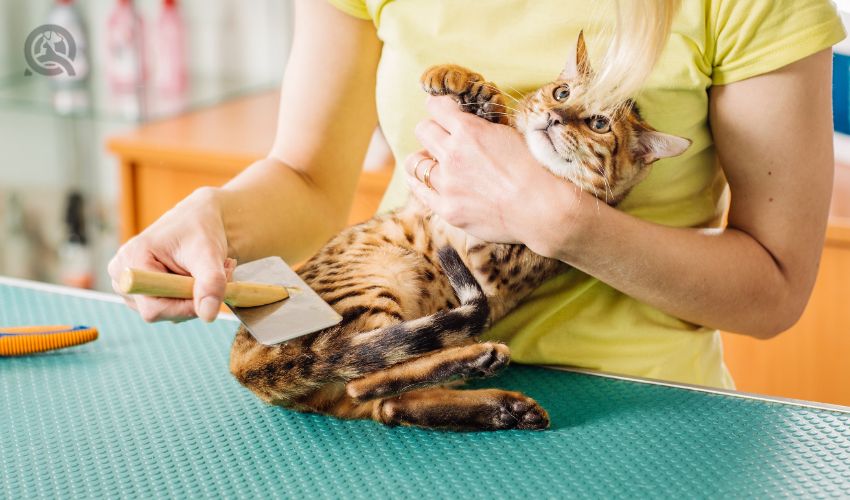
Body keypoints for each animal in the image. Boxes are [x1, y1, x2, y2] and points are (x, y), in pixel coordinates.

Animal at [230, 32, 688, 430]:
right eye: (562, 94)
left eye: (598, 123)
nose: (556, 118)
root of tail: (243, 359)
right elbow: (497, 113)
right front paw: (463, 81)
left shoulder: (498, 256)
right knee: (383, 395)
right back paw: (499, 401)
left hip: (377, 282)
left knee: (371, 384)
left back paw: (487, 375)